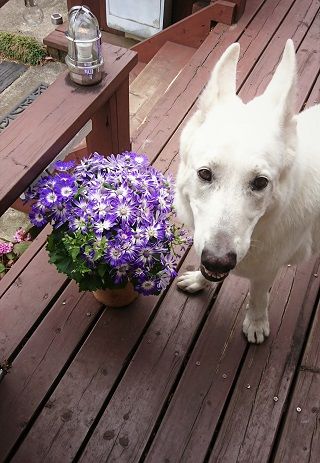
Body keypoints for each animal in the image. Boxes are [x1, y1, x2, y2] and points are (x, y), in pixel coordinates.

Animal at [175, 39, 320, 344]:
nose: (218, 262)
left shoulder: (268, 269)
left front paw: (256, 322)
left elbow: (258, 296)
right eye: (205, 174)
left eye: (260, 183)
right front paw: (199, 279)